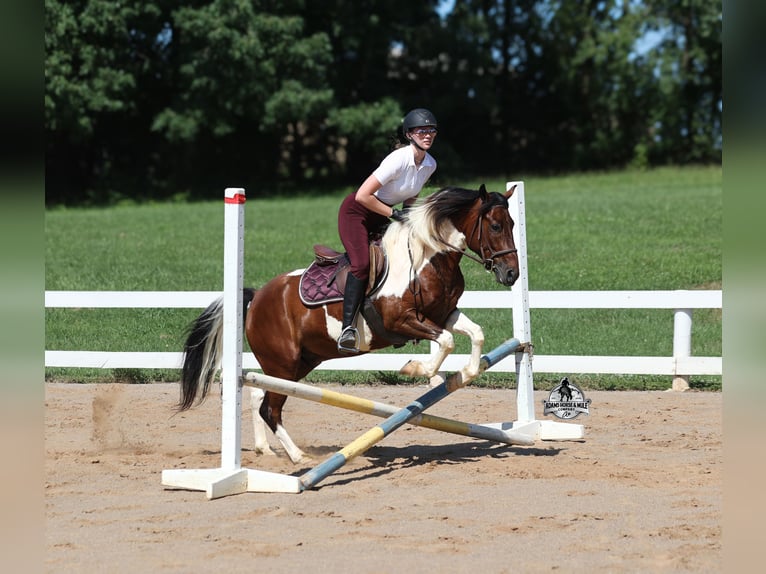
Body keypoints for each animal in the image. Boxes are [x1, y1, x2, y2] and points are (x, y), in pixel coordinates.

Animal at [178, 184, 520, 463]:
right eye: (495, 225)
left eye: (514, 224)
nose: (512, 274)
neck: (428, 258)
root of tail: (257, 296)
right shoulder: (401, 320)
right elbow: (446, 341)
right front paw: (419, 370)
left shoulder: (444, 314)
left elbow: (475, 334)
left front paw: (464, 374)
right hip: (283, 362)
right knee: (269, 408)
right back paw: (298, 457)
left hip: (300, 362)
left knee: (259, 395)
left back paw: (266, 449)